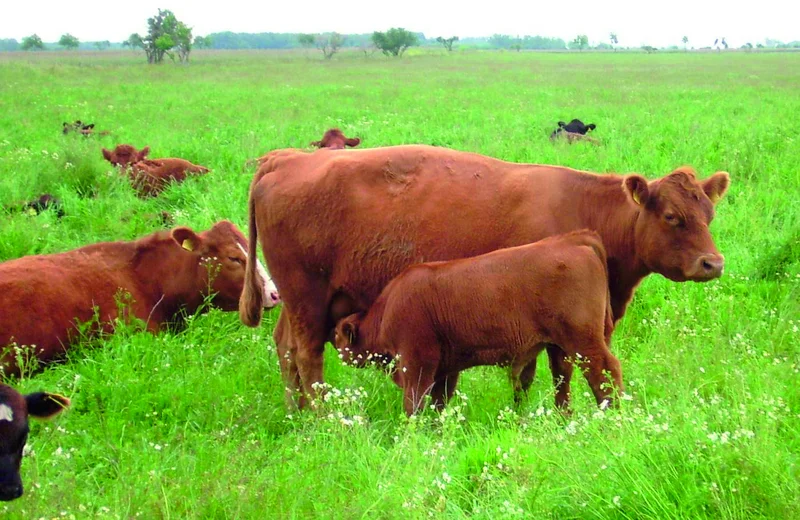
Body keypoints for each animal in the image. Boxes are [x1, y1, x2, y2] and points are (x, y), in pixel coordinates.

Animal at [333, 231, 622, 415]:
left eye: (338, 338)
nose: (338, 352)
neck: (388, 309)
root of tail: (574, 240)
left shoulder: (417, 362)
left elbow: (414, 403)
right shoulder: (446, 369)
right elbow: (439, 402)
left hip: (583, 341)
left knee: (605, 370)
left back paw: (613, 415)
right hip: (560, 346)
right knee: (563, 380)